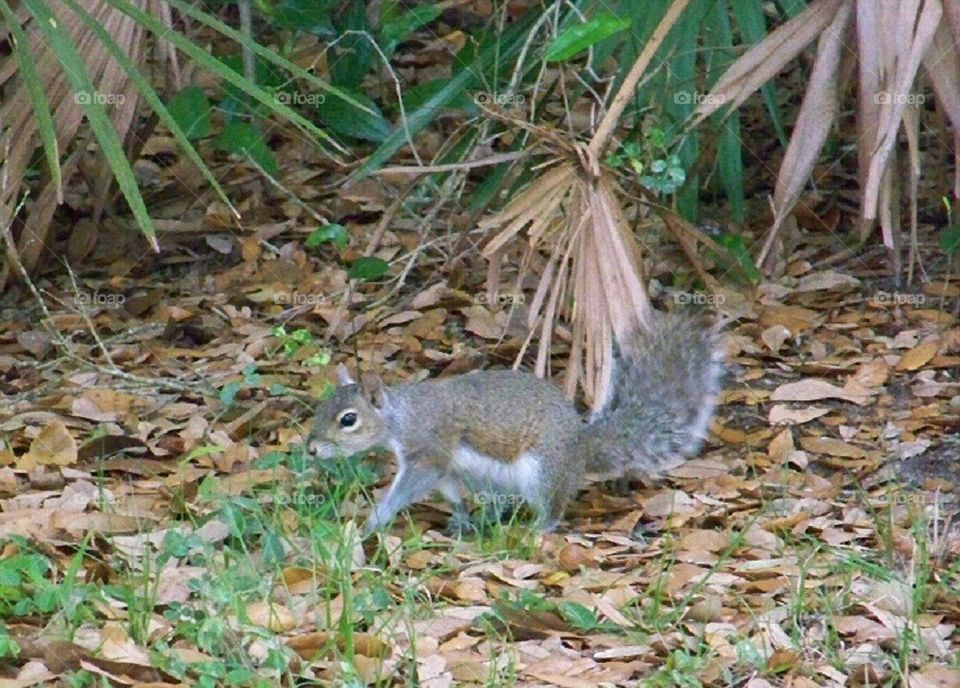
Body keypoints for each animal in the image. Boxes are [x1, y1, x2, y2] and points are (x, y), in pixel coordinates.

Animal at [307, 313, 725, 536]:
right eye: (322, 407)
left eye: (348, 420)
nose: (310, 449)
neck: (401, 416)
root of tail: (579, 446)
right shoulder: (444, 468)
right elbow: (451, 492)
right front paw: (460, 519)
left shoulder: (429, 451)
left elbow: (409, 487)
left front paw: (373, 522)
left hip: (542, 471)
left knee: (552, 507)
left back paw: (537, 529)